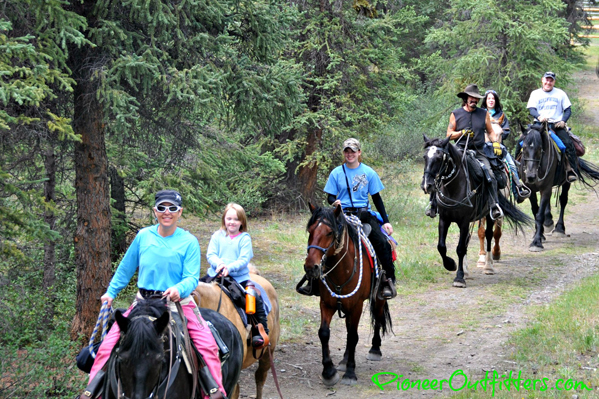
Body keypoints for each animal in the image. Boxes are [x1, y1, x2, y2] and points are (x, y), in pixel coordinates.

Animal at [304, 205, 394, 386]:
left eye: (329, 232)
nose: (311, 267)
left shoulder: (356, 306)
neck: (342, 270)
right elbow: (324, 333)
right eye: (310, 231)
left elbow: (353, 336)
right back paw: (344, 360)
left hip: (378, 298)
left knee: (378, 318)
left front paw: (350, 373)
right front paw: (329, 372)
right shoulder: (326, 304)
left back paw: (375, 349)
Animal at [420, 136, 532, 290]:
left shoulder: (464, 221)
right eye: (425, 157)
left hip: (489, 215)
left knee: (489, 235)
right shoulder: (444, 219)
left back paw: (488, 266)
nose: (427, 185)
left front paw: (459, 277)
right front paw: (451, 265)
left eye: (439, 158)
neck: (454, 188)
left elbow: (461, 248)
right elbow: (442, 246)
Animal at [516, 123, 599, 252]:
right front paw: (539, 234)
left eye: (540, 149)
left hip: (566, 182)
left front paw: (536, 242)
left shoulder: (546, 188)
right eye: (523, 148)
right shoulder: (531, 189)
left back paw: (559, 228)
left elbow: (539, 215)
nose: (531, 176)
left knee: (563, 200)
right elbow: (535, 211)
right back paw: (548, 222)